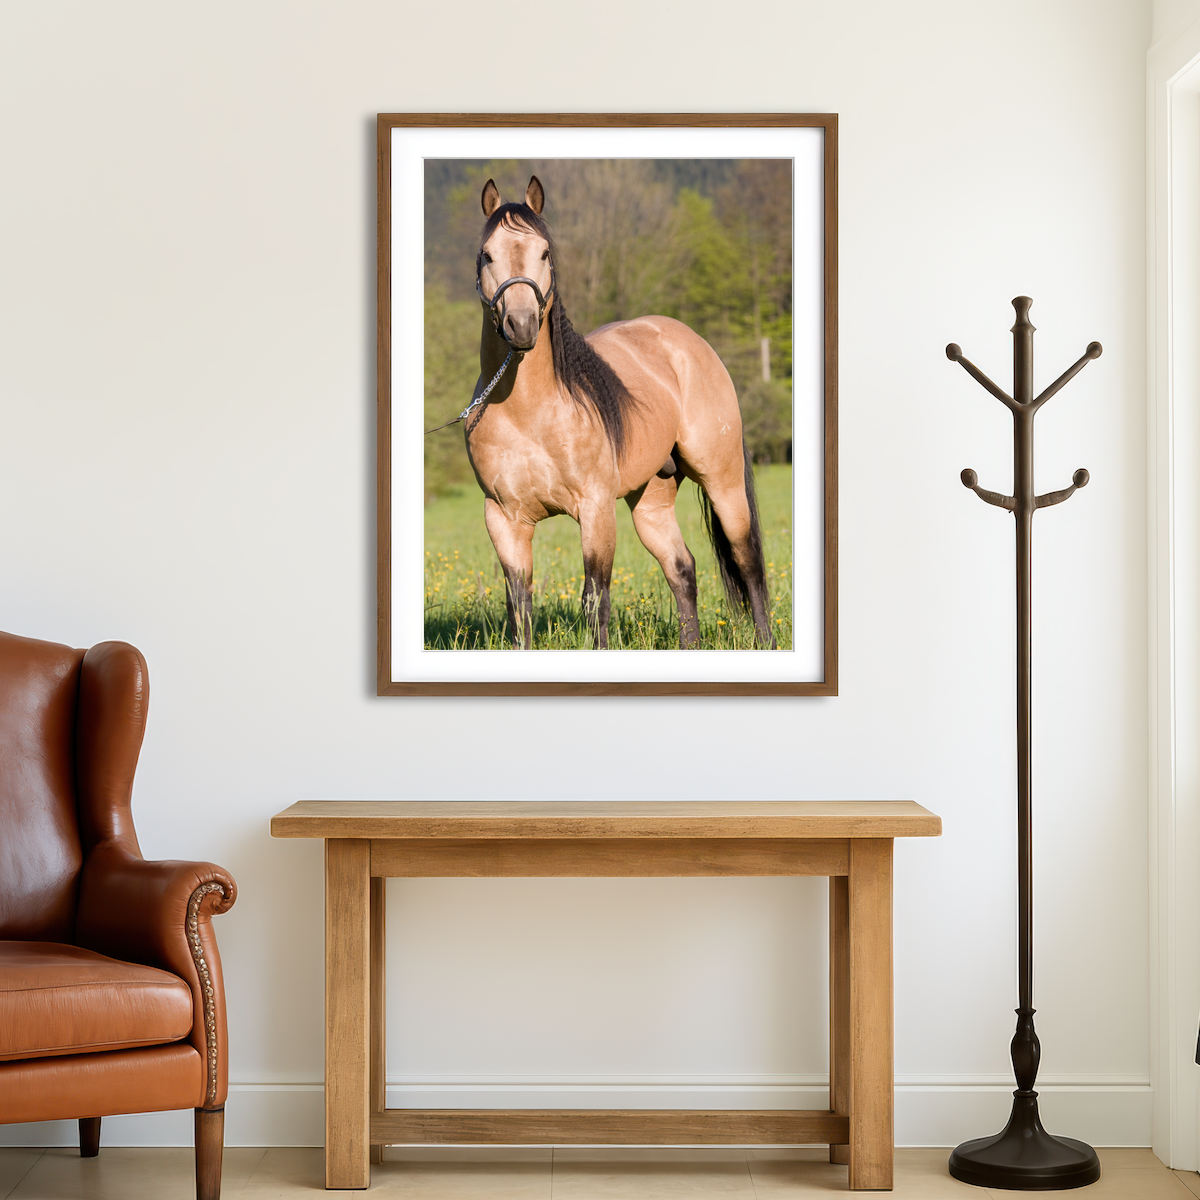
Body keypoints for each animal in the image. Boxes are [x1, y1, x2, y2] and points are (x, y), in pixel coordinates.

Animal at [461, 174, 774, 650]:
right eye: (487, 254)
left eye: (545, 252)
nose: (521, 324)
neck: (529, 413)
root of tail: (690, 342)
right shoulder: (503, 518)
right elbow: (520, 608)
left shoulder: (595, 510)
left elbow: (595, 600)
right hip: (651, 500)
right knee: (681, 569)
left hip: (722, 480)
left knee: (747, 560)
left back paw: (766, 640)